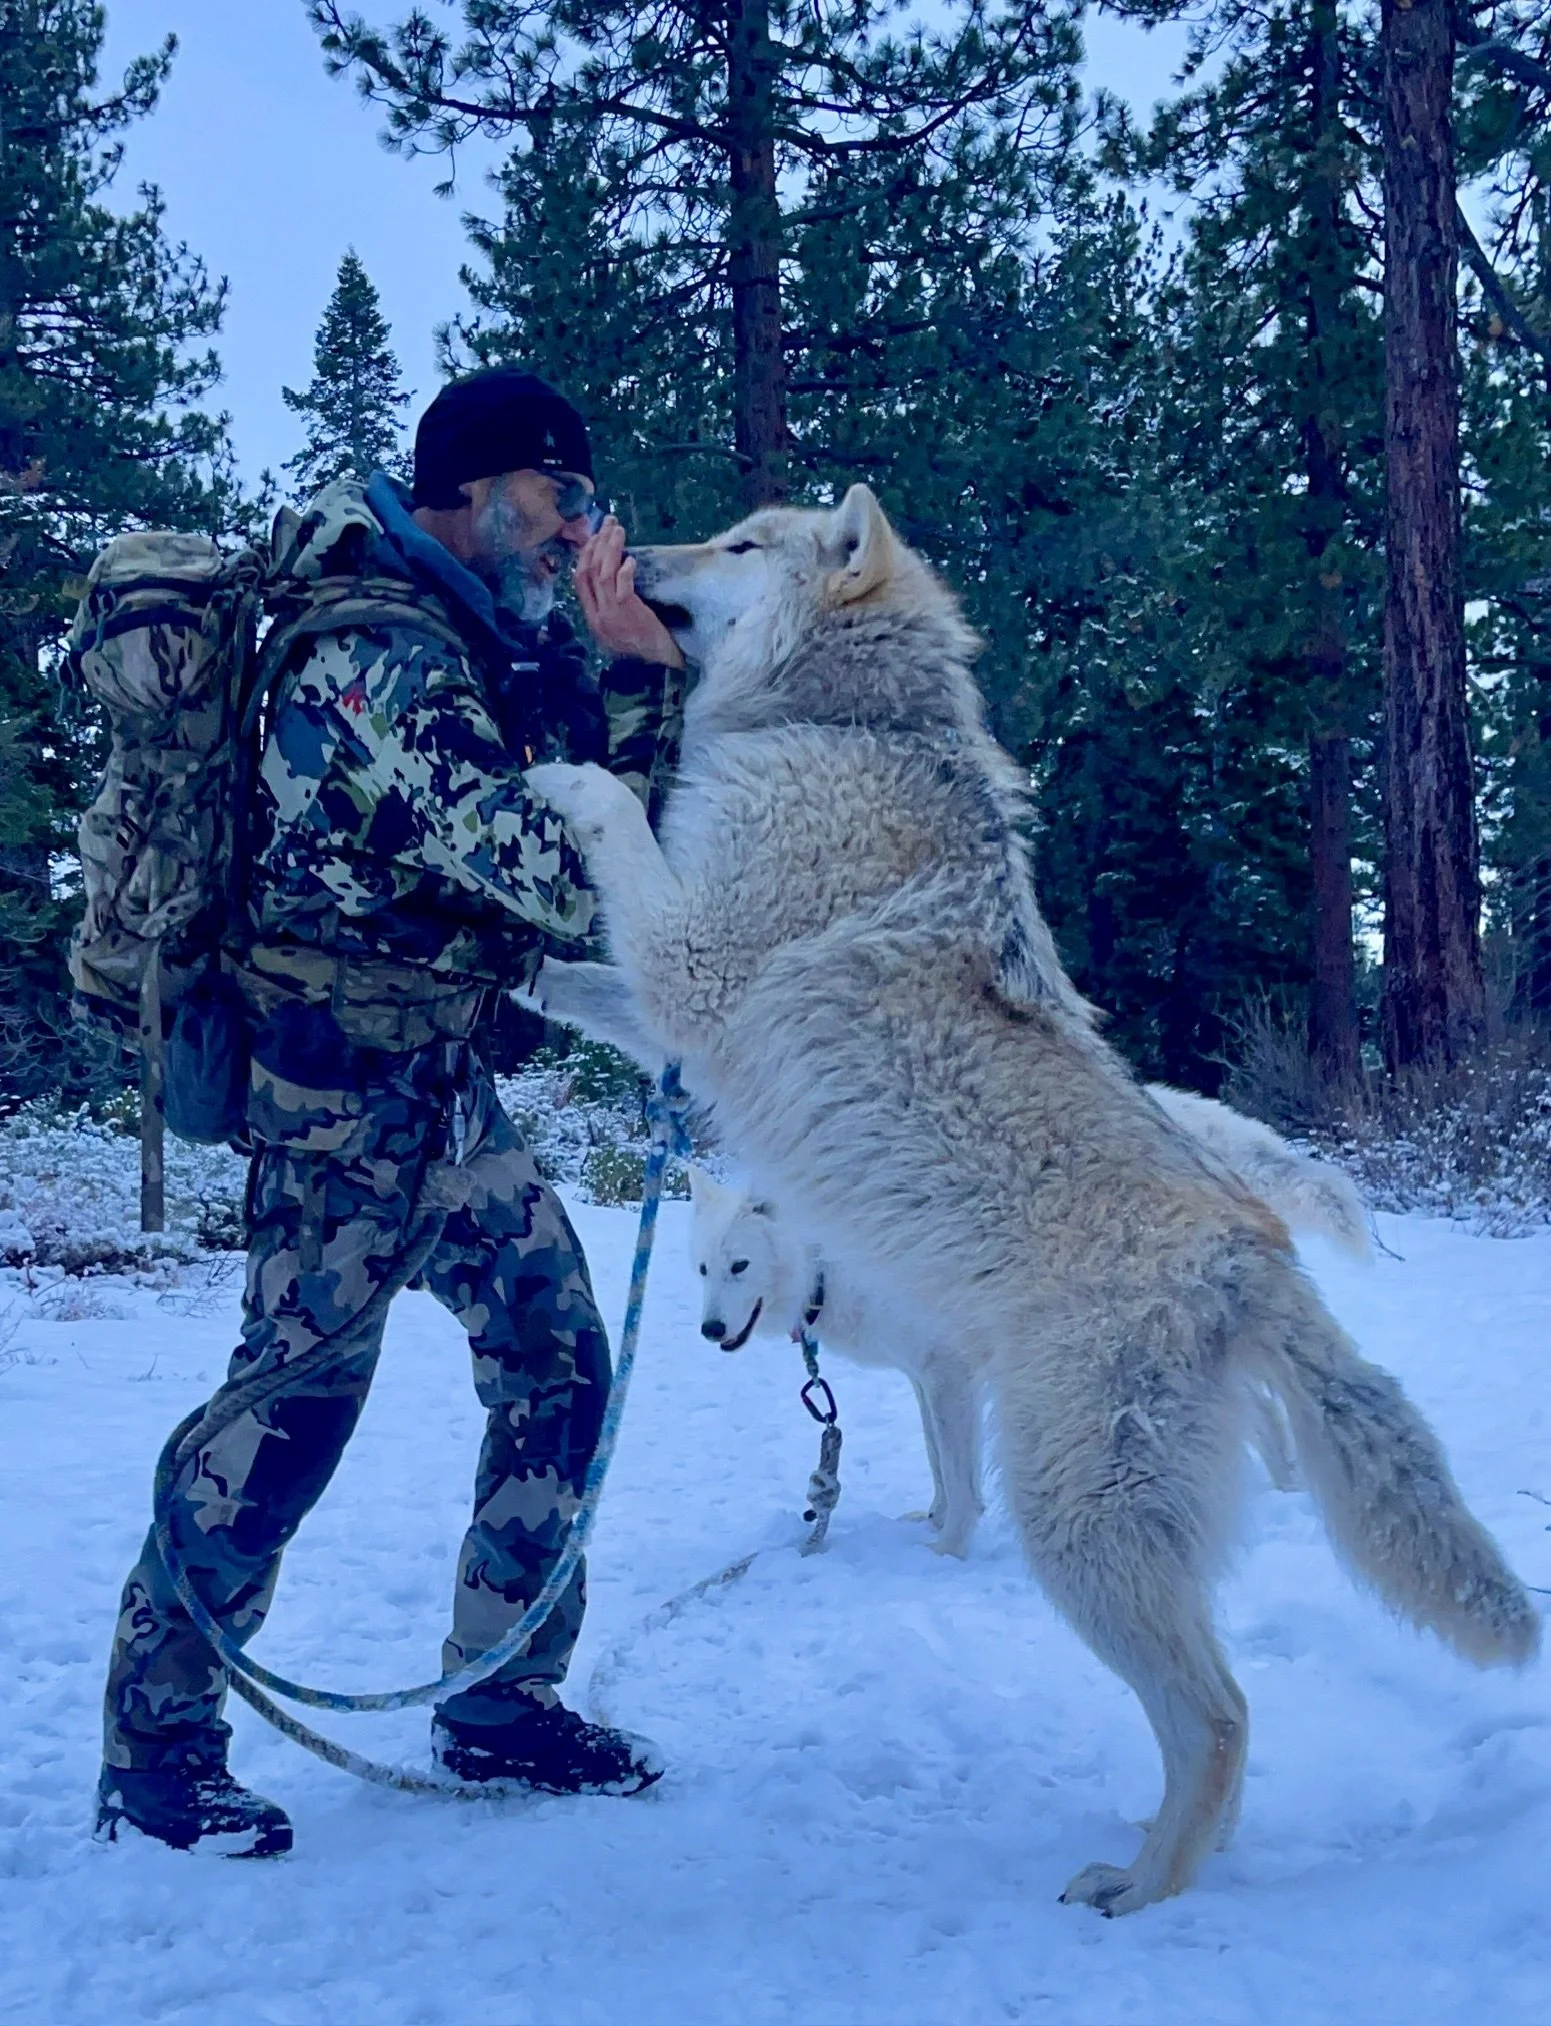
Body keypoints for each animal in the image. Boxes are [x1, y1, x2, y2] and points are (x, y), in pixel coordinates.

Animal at [687, 1100, 1363, 1555]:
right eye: (703, 1268)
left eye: (740, 1265)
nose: (710, 1329)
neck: (828, 1261)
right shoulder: (927, 1376)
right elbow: (940, 1464)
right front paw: (933, 1519)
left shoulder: (949, 1374)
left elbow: (957, 1471)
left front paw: (948, 1549)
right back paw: (1282, 1487)